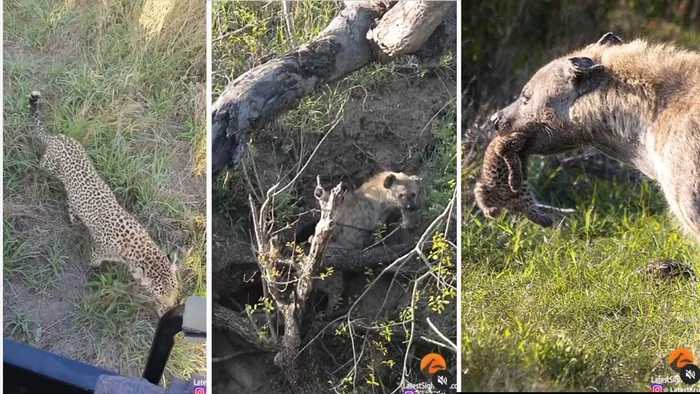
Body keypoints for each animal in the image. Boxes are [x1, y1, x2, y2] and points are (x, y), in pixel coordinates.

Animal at [29, 91, 178, 316]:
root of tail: (59, 137)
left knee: (71, 202)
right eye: (160, 293)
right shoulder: (97, 253)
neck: (135, 249)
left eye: (174, 290)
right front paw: (95, 279)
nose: (170, 307)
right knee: (44, 167)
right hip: (49, 166)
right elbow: (92, 266)